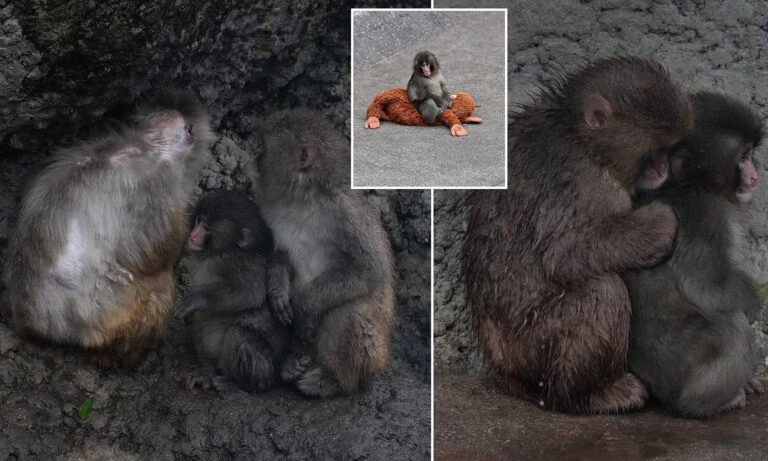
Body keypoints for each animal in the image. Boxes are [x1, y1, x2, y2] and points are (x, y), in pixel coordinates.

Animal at [2, 88, 212, 366]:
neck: (145, 146)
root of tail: (33, 322)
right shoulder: (159, 184)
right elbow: (152, 251)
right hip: (103, 313)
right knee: (157, 288)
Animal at [175, 190, 290, 392]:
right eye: (198, 220)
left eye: (206, 227)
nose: (193, 235)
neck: (216, 253)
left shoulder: (234, 262)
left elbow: (251, 292)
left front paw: (195, 298)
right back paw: (209, 371)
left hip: (264, 367)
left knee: (238, 334)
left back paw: (240, 382)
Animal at [247, 108, 395, 397]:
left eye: (265, 149)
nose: (253, 159)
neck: (301, 201)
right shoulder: (271, 211)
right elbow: (279, 252)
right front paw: (278, 289)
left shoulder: (345, 212)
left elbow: (371, 269)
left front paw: (305, 307)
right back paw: (292, 362)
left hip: (371, 356)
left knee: (349, 312)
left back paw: (333, 379)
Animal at [462, 57, 692, 414]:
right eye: (654, 152)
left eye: (669, 150)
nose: (663, 169)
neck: (580, 138)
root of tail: (502, 367)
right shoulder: (585, 182)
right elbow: (565, 252)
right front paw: (660, 223)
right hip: (533, 345)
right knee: (603, 292)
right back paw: (588, 395)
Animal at [624, 91, 764, 418]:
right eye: (742, 157)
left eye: (750, 153)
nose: (754, 175)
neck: (694, 184)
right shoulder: (707, 215)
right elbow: (707, 287)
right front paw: (754, 303)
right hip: (681, 371)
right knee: (731, 325)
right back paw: (710, 402)